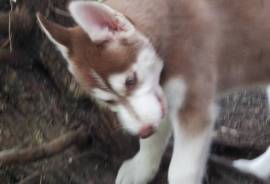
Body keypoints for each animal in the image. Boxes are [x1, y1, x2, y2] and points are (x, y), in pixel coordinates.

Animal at [37, 0, 270, 184]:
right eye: (109, 101)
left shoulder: (193, 108)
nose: (144, 130)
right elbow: (151, 142)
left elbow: (180, 172)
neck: (166, 34)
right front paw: (140, 168)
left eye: (130, 81)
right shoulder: (161, 101)